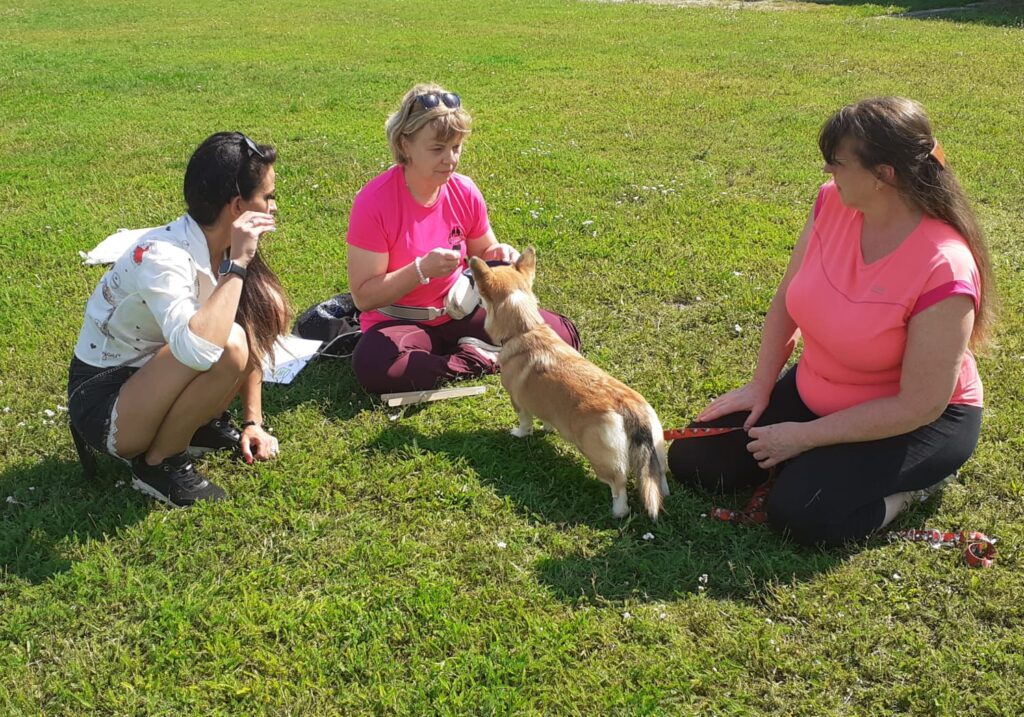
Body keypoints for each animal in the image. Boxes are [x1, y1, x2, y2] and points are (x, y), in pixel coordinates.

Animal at [468, 248, 667, 518]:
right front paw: (547, 429)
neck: (526, 328)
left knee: (618, 486)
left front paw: (519, 433)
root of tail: (629, 407)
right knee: (658, 477)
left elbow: (524, 422)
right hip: (656, 449)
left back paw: (618, 512)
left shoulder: (518, 402)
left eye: (479, 291)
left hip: (601, 460)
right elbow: (547, 419)